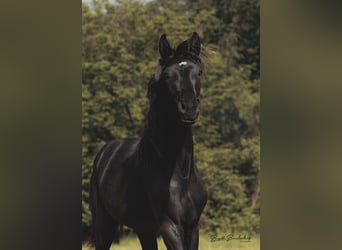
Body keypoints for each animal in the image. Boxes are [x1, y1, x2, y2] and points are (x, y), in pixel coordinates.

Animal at [90, 32, 208, 249]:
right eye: (167, 76)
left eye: (199, 72)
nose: (189, 109)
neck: (180, 175)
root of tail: (105, 152)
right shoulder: (168, 225)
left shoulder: (192, 226)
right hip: (104, 225)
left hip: (143, 228)